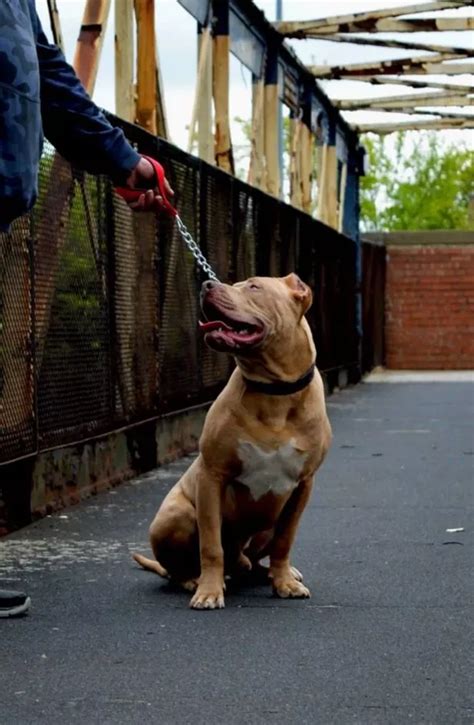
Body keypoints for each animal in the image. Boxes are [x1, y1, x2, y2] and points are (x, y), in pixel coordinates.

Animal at [133, 274, 332, 608]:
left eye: (253, 286)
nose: (206, 285)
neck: (274, 393)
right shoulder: (212, 476)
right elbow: (211, 544)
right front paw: (209, 592)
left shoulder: (303, 485)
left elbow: (285, 540)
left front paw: (284, 583)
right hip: (175, 516)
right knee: (178, 568)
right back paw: (193, 579)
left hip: (269, 521)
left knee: (257, 556)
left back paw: (271, 571)